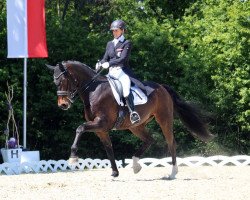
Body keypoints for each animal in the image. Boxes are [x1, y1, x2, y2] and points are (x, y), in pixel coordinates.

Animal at [46, 60, 213, 178]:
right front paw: (115, 172)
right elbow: (108, 148)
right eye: (55, 82)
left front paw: (73, 157)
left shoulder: (101, 123)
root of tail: (162, 87)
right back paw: (136, 165)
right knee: (149, 140)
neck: (93, 91)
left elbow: (80, 128)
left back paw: (172, 172)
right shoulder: (101, 129)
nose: (63, 105)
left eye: (63, 81)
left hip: (164, 119)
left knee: (171, 142)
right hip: (135, 126)